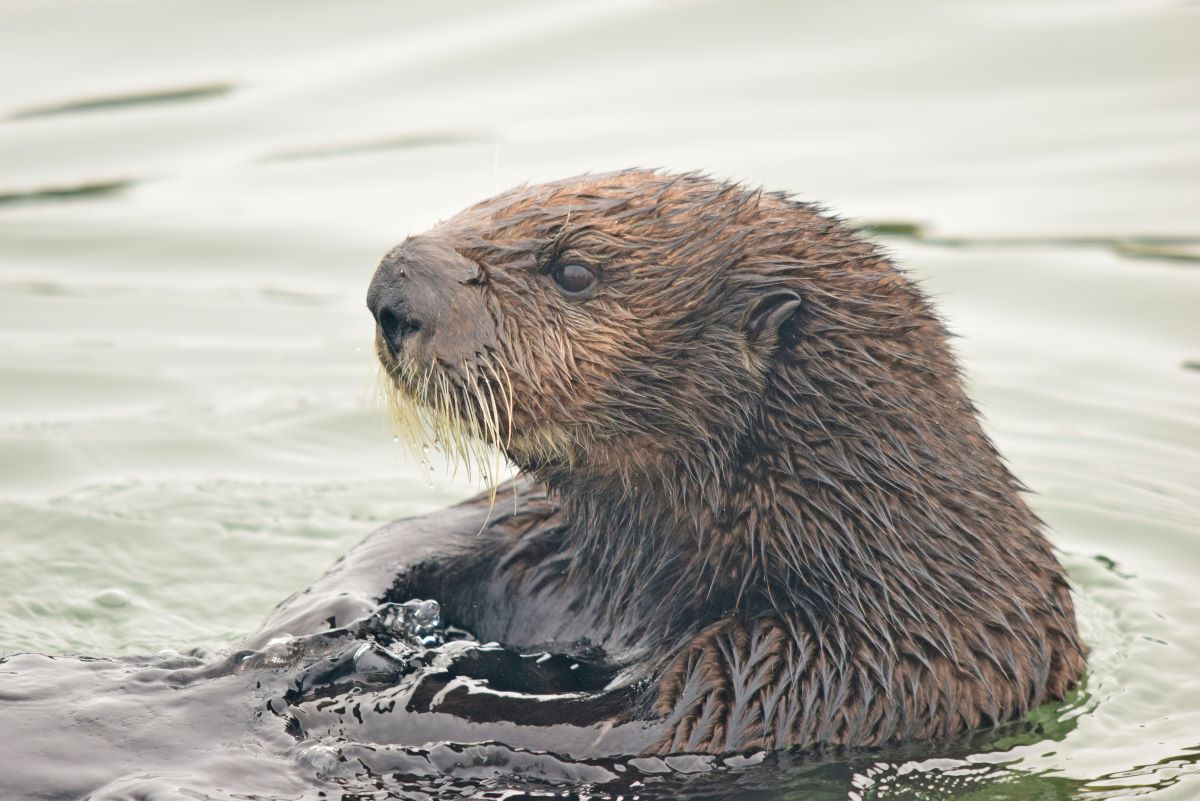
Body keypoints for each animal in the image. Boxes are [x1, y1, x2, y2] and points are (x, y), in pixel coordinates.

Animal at [328, 169, 1086, 753]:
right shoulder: (539, 536)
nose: (392, 287)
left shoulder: (810, 674)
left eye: (573, 271)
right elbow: (412, 537)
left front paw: (371, 698)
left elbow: (580, 730)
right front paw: (331, 622)